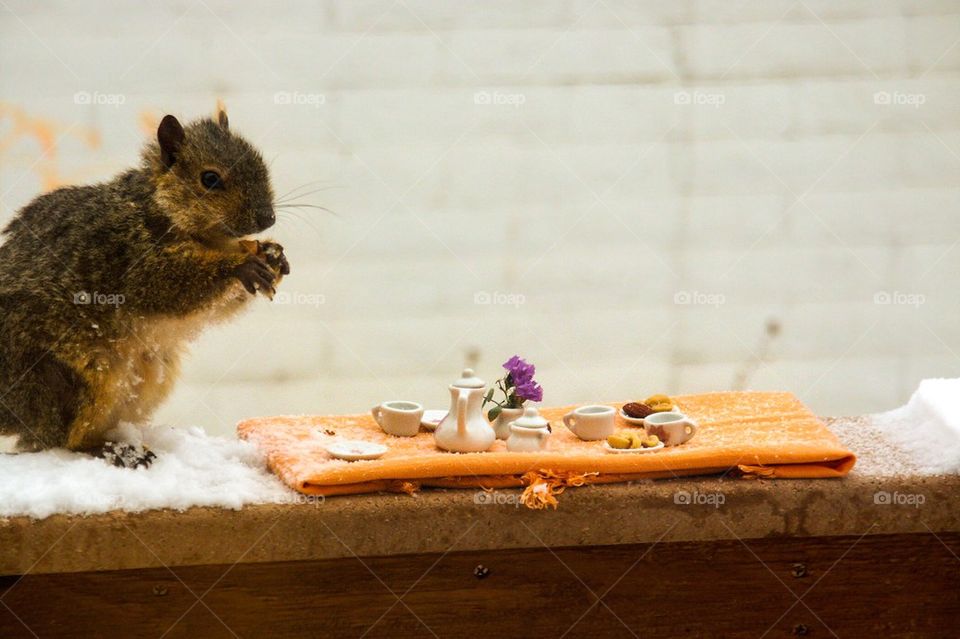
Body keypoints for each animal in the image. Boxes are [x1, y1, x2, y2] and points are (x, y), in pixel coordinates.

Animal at [0, 106, 289, 465]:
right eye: (209, 179)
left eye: (260, 164)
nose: (267, 218)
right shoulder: (128, 254)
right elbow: (165, 286)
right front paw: (239, 265)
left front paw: (272, 255)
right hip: (70, 376)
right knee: (61, 439)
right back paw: (110, 450)